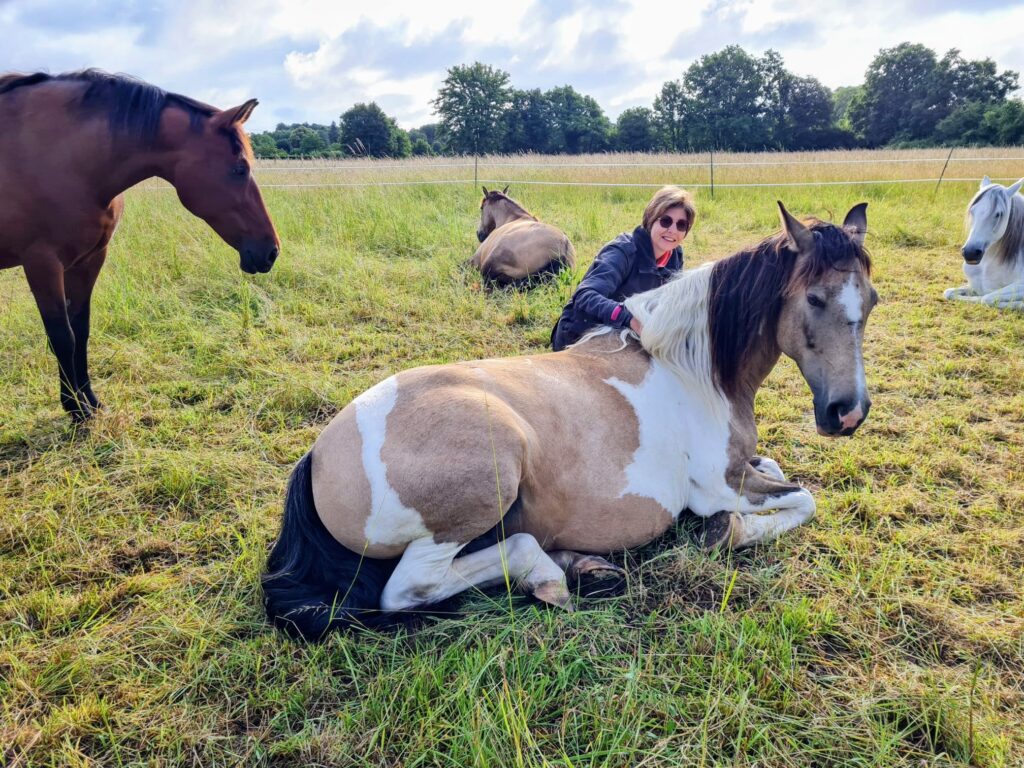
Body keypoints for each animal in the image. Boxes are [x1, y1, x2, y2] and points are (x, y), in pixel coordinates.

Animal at [0, 69, 280, 422]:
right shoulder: (42, 263)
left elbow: (81, 329)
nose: (271, 251)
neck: (61, 155)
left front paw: (90, 401)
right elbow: (62, 337)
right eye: (240, 169)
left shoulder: (88, 260)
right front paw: (77, 411)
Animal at [263, 202, 876, 640]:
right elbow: (803, 499)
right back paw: (548, 575)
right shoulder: (722, 485)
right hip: (481, 488)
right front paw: (728, 532)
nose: (847, 413)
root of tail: (318, 456)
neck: (691, 367)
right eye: (815, 298)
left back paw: (584, 566)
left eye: (869, 301)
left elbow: (778, 470)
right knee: (412, 587)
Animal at [944, 176, 1024, 309]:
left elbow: (986, 298)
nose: (970, 253)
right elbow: (948, 292)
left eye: (999, 214)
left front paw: (1020, 304)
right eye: (972, 210)